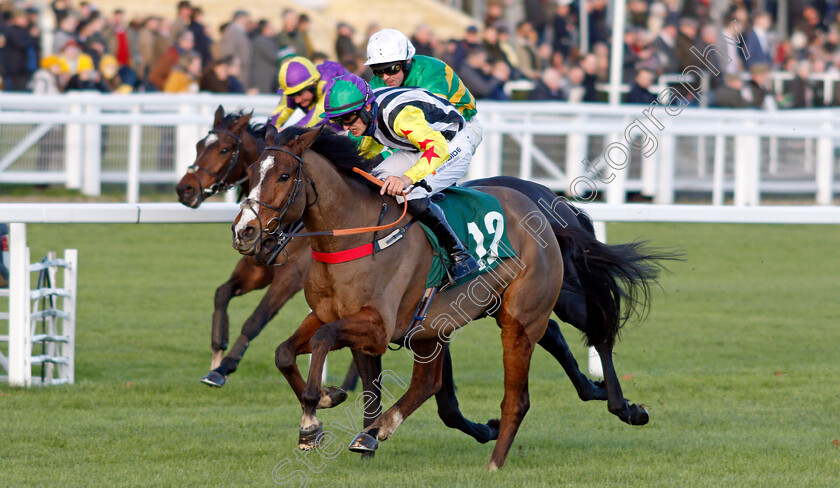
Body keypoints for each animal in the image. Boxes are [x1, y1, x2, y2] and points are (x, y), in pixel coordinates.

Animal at [231, 126, 664, 468]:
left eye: (284, 175)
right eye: (250, 173)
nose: (244, 232)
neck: (356, 234)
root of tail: (542, 204)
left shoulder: (376, 326)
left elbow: (323, 344)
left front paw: (314, 416)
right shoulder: (328, 315)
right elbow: (285, 353)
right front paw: (327, 402)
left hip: (542, 303)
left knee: (595, 332)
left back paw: (620, 407)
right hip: (471, 314)